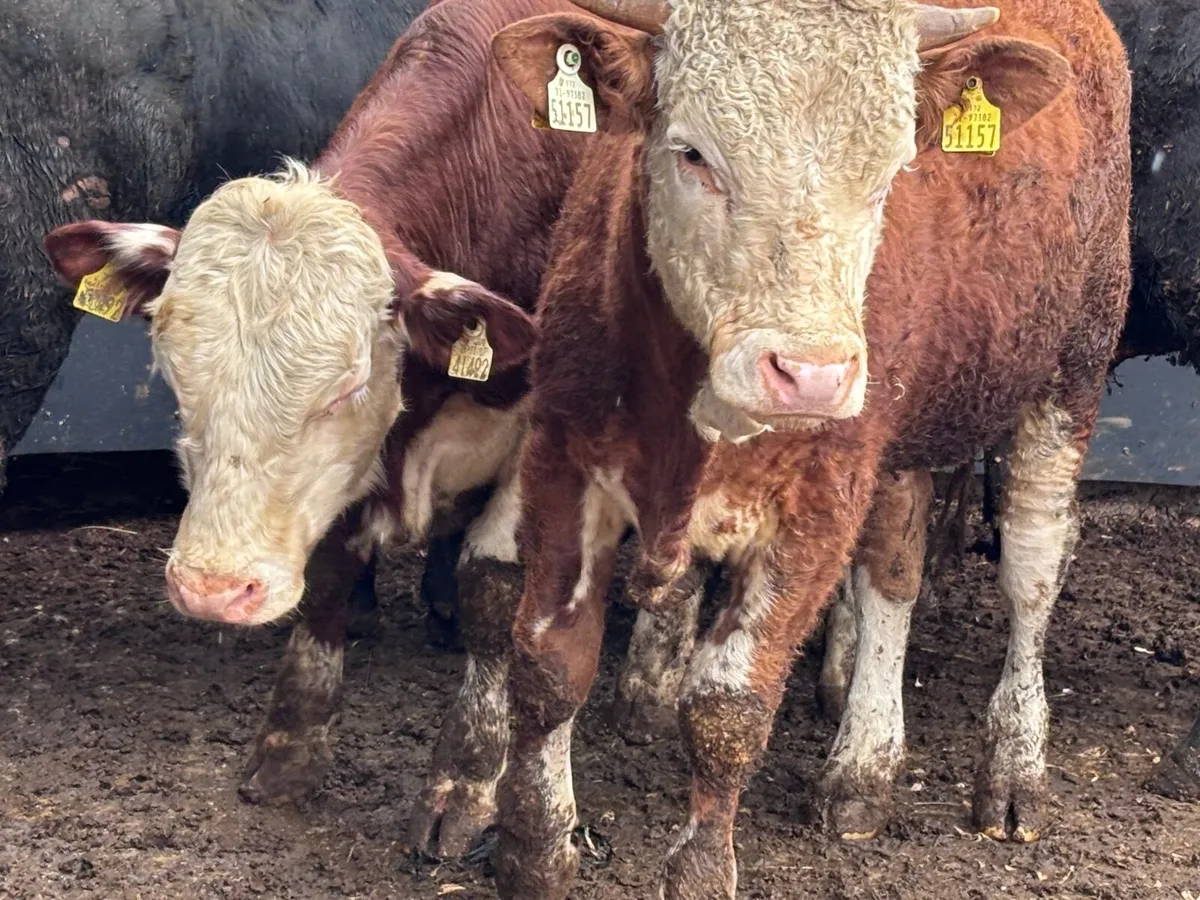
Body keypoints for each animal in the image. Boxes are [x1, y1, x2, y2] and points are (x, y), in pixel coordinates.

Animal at [483, 0, 1132, 896]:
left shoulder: (819, 503)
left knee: (1033, 570)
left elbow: (728, 707)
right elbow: (549, 665)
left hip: (1072, 368)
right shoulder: (564, 458)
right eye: (691, 152)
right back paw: (861, 770)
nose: (813, 376)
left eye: (891, 174)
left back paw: (1014, 769)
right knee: (895, 566)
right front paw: (534, 848)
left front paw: (701, 871)